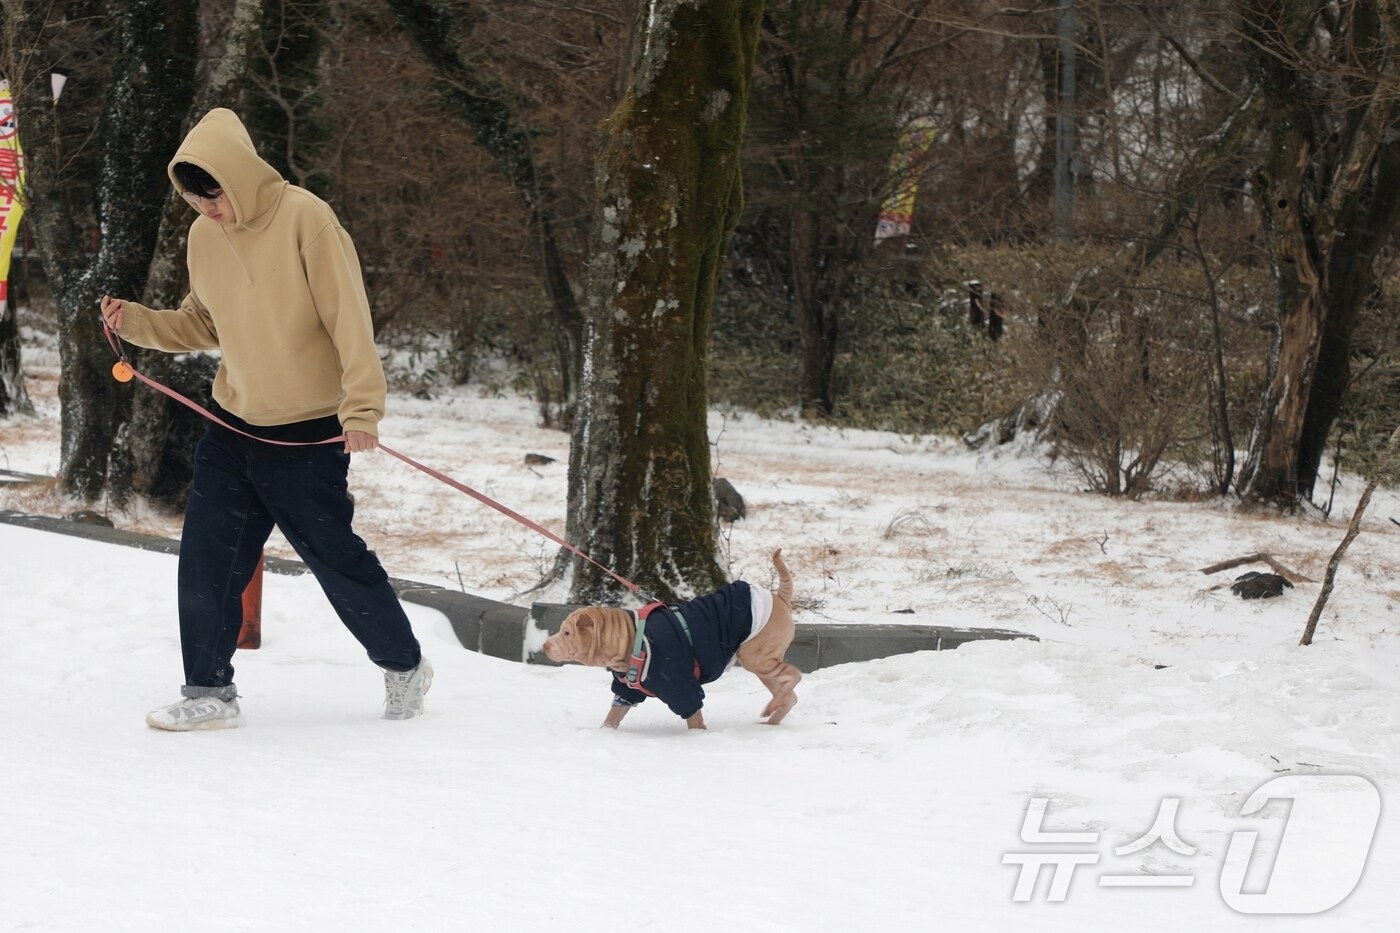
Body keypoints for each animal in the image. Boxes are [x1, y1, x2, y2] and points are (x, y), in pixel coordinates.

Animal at [537, 546, 800, 728]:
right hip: (762, 664)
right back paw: (771, 718)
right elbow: (613, 715)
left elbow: (694, 717)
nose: (545, 646)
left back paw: (772, 707)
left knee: (794, 676)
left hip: (756, 655)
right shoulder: (626, 691)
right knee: (790, 696)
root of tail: (778, 597)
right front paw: (604, 733)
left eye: (567, 632)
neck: (631, 637)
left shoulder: (680, 686)